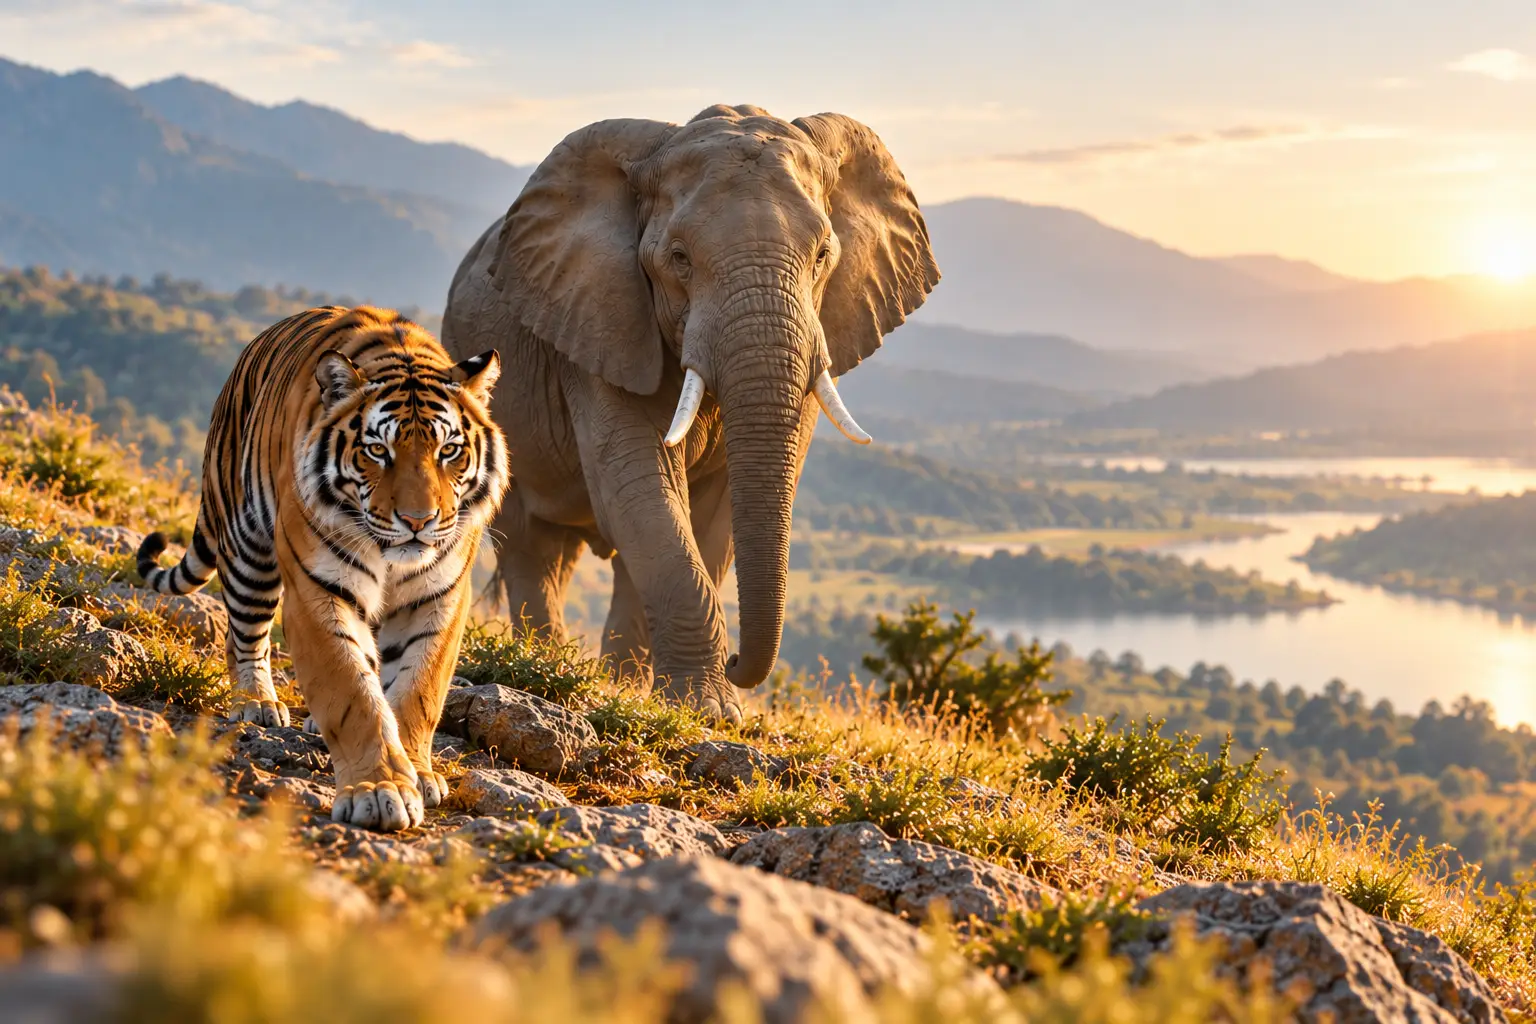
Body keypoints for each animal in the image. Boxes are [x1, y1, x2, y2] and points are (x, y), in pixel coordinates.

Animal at [137, 306, 510, 832]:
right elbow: (351, 691)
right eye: (378, 451)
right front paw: (379, 789)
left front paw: (417, 772)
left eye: (448, 451)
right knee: (243, 638)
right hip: (248, 549)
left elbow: (418, 691)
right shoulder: (319, 589)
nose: (418, 521)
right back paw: (256, 702)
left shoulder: (439, 597)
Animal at [441, 103, 939, 720]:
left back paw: (618, 681)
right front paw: (709, 710)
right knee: (529, 545)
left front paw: (682, 703)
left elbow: (713, 517)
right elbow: (639, 491)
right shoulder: (601, 322)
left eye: (824, 255)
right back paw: (551, 660)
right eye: (678, 259)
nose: (739, 661)